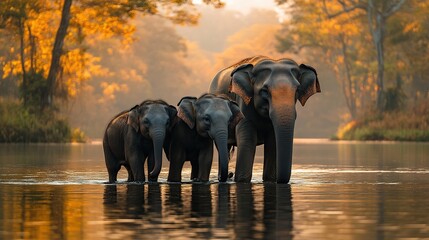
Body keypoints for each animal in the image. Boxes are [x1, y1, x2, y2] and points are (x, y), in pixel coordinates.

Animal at [209, 55, 320, 184]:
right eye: (264, 91)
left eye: (297, 90)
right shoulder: (244, 104)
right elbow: (248, 140)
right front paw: (241, 180)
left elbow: (272, 142)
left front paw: (270, 180)